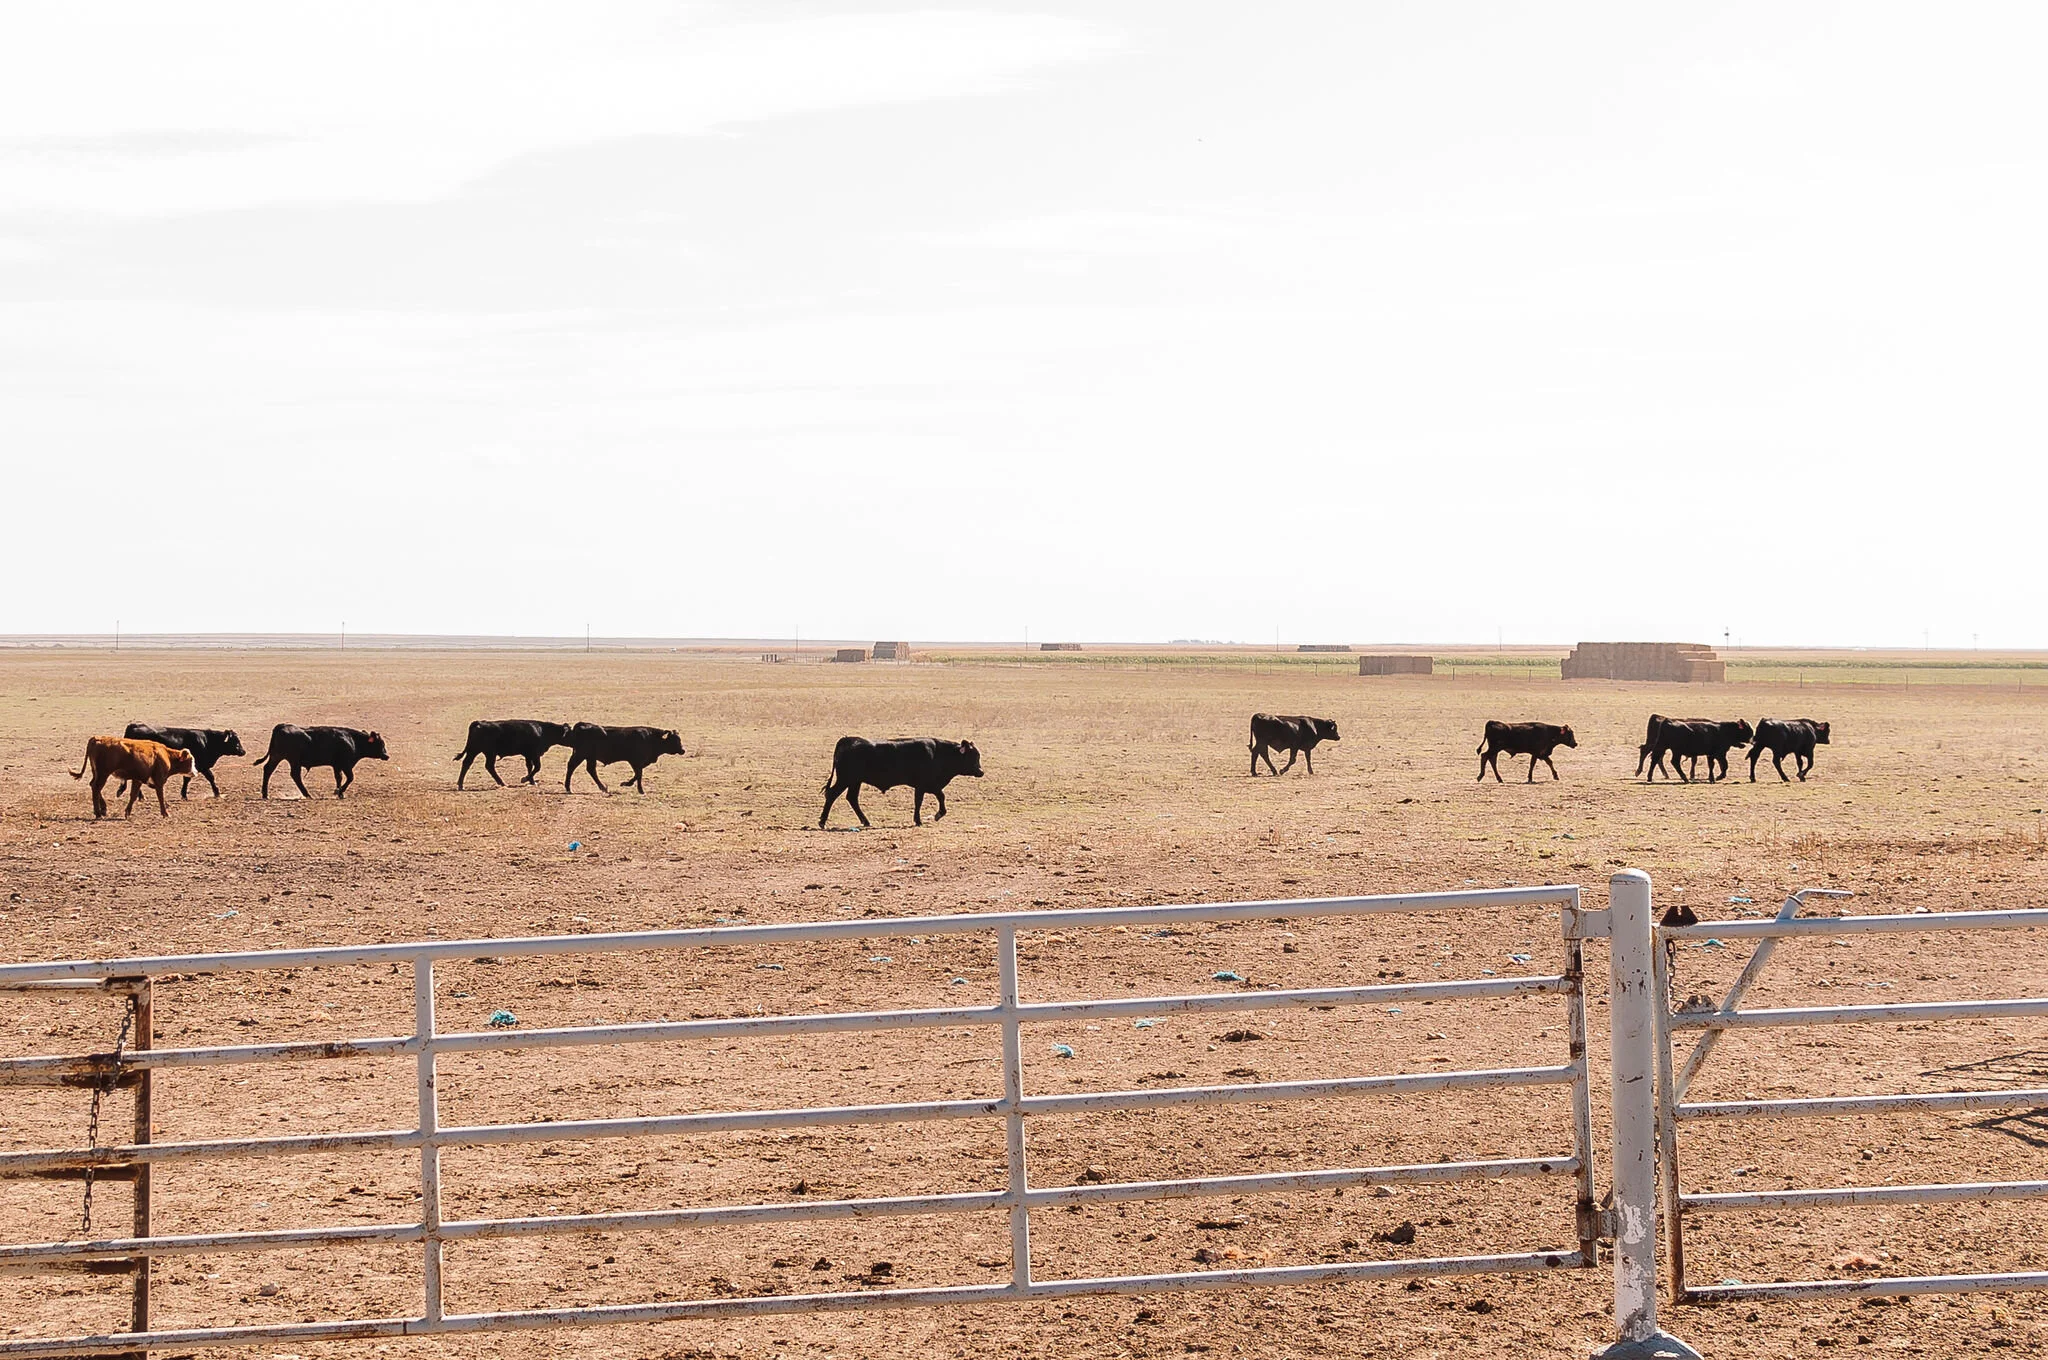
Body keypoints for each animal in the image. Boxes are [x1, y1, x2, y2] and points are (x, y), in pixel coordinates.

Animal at [116, 724, 245, 799]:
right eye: (235, 740)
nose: (243, 751)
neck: (207, 741)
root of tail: (135, 726)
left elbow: (187, 779)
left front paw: (184, 794)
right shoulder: (201, 765)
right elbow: (210, 777)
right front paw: (217, 793)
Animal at [254, 725, 389, 799]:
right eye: (381, 743)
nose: (386, 756)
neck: (352, 740)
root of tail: (281, 726)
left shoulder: (337, 765)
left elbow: (338, 778)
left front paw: (339, 793)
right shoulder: (346, 764)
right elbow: (350, 778)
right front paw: (339, 791)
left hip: (277, 756)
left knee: (268, 770)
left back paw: (265, 794)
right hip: (293, 760)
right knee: (295, 775)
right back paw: (307, 795)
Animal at [819, 737, 983, 828]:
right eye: (973, 756)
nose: (981, 772)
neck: (939, 753)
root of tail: (848, 740)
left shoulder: (925, 786)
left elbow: (929, 799)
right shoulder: (925, 785)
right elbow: (931, 798)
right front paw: (929, 817)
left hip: (855, 781)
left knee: (852, 798)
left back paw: (865, 821)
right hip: (845, 779)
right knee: (832, 795)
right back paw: (822, 821)